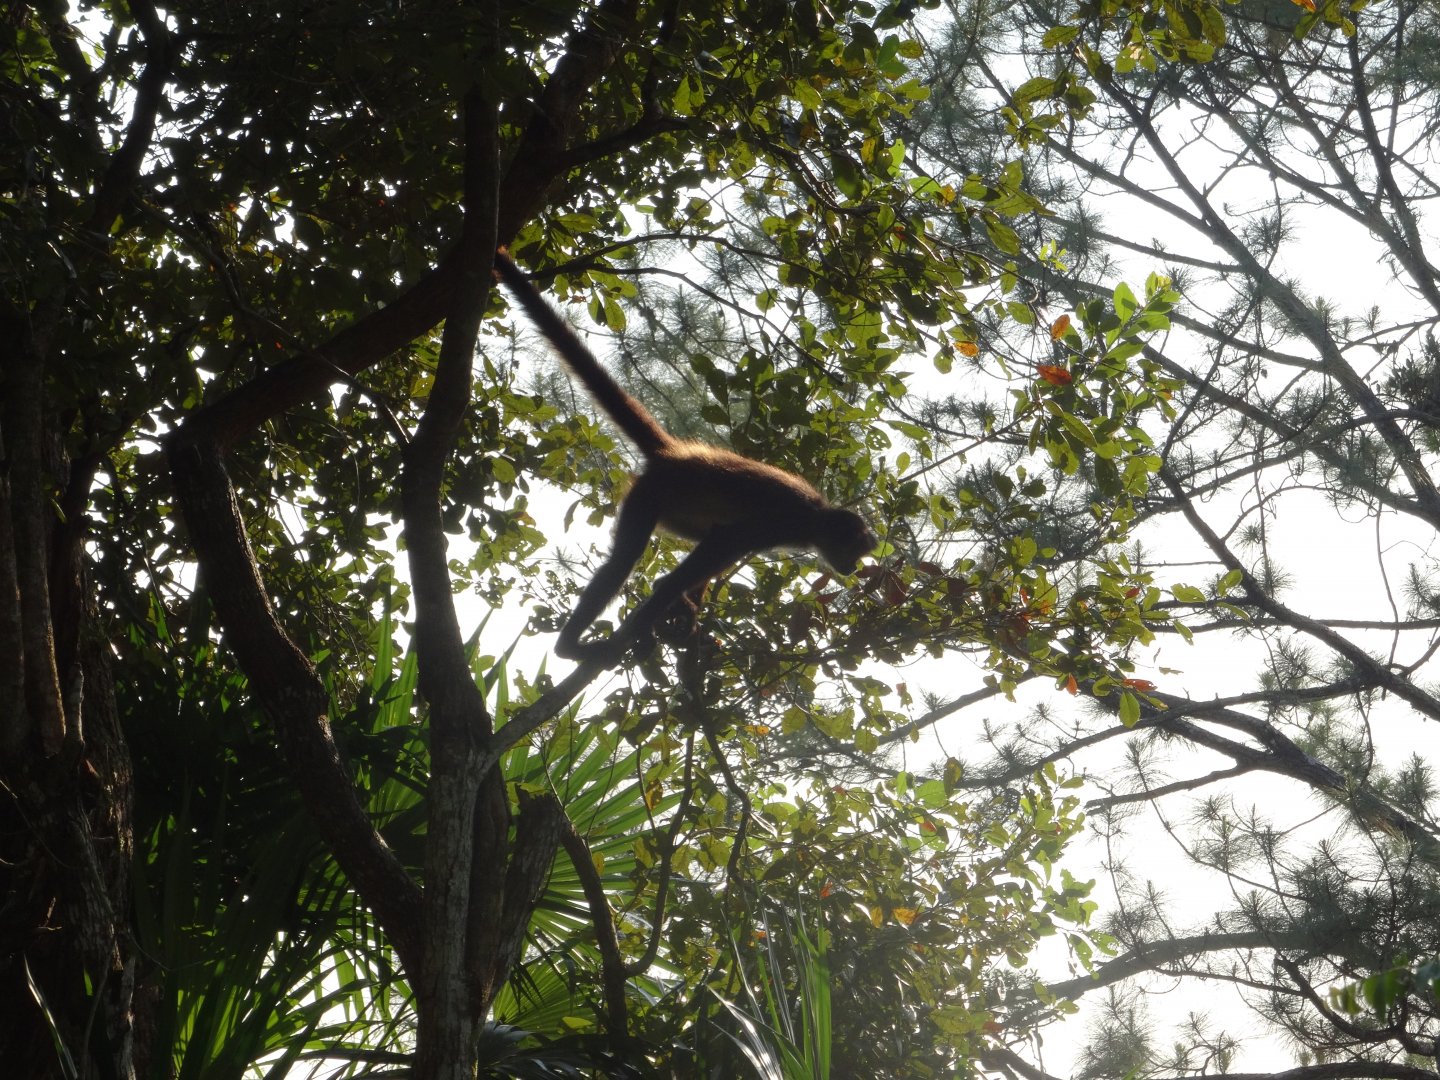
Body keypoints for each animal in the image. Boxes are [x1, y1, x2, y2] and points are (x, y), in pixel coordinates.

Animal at [492, 249, 878, 665]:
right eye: (854, 549)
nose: (854, 568)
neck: (817, 516)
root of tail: (674, 456)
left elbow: (715, 544)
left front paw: (682, 607)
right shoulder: (780, 523)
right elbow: (722, 544)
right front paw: (663, 597)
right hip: (649, 495)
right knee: (624, 560)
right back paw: (570, 646)